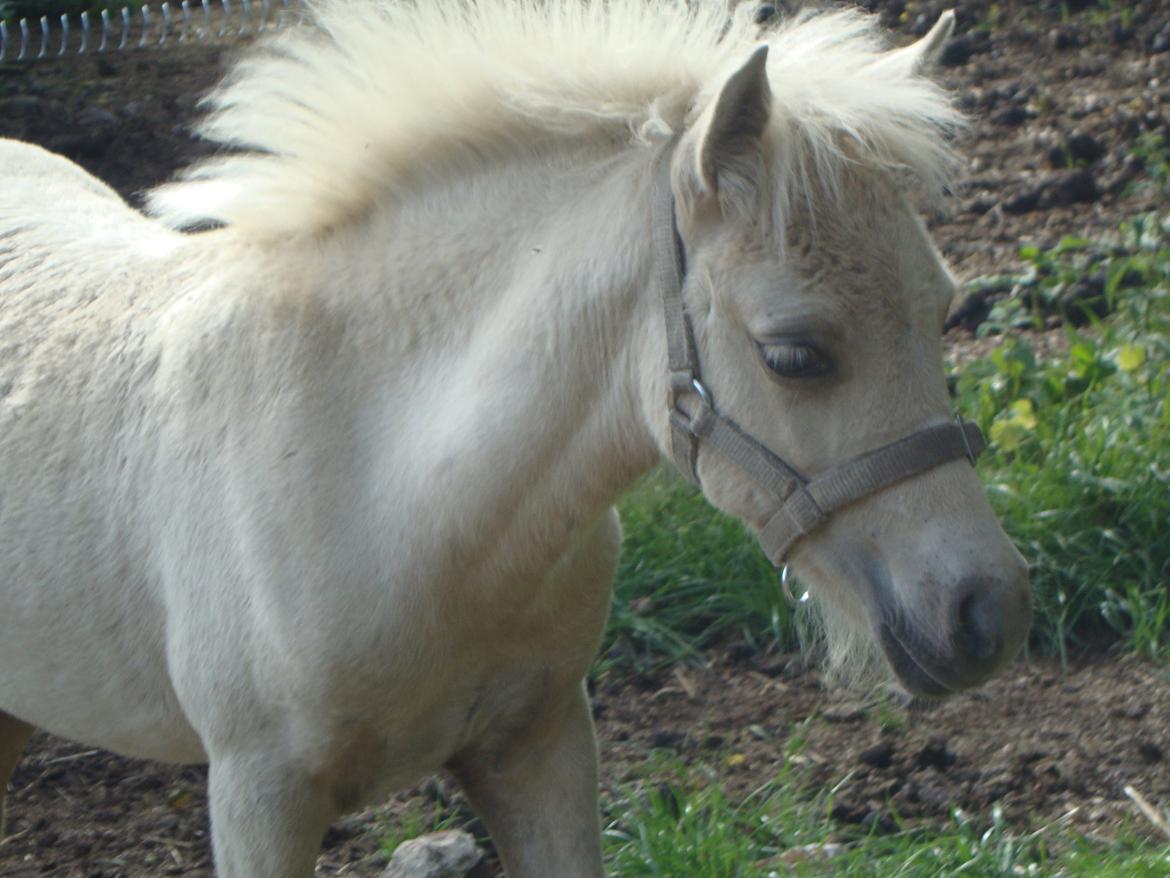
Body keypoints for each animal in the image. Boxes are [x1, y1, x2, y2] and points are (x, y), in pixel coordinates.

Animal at [0, 1, 1031, 874]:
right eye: (794, 354)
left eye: (942, 307)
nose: (988, 614)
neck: (392, 492)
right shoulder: (259, 797)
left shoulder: (541, 745)